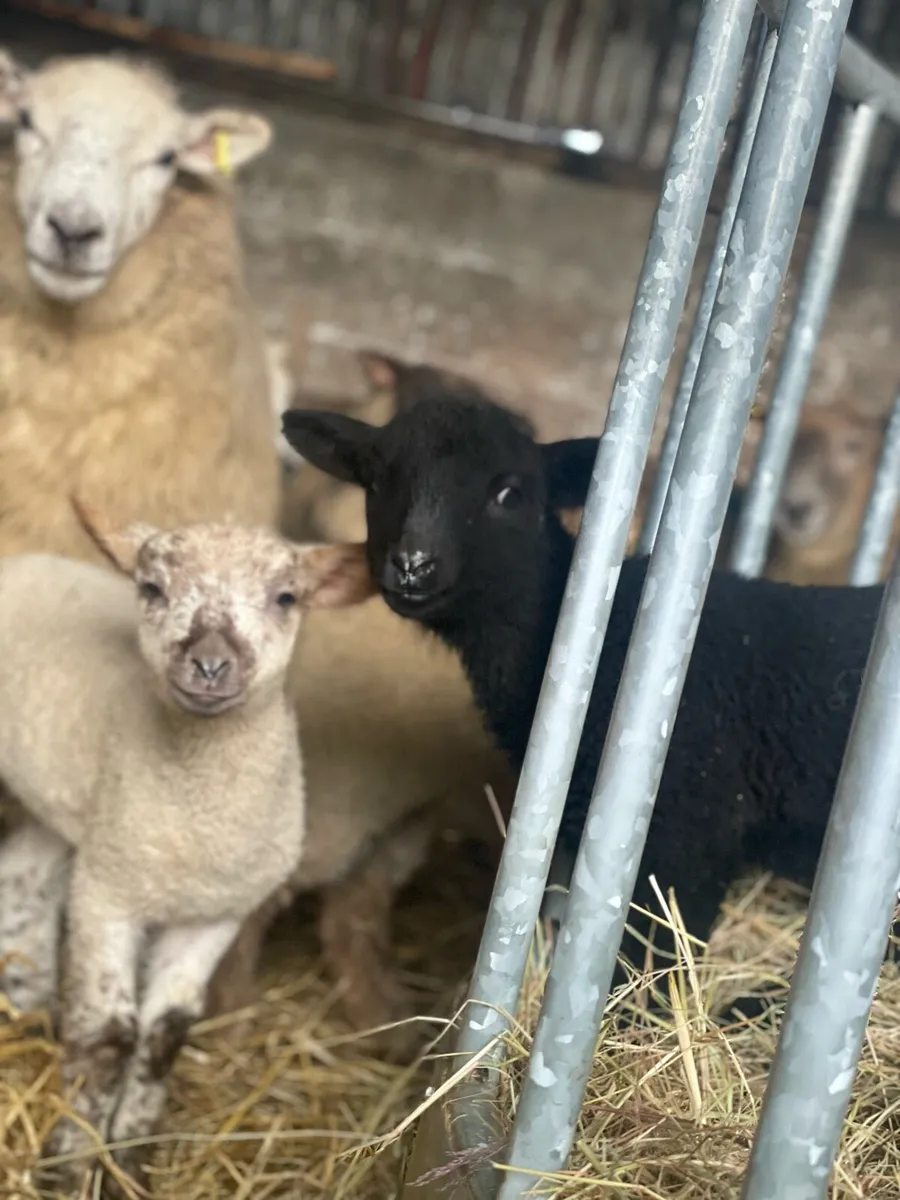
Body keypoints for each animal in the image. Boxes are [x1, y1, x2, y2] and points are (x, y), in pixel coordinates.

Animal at [0, 502, 374, 1195]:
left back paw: (29, 1003)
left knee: (22, 878)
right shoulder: (108, 895)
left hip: (64, 805)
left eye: (286, 597)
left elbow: (162, 1036)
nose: (209, 664)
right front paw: (70, 1164)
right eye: (152, 588)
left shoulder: (215, 913)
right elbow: (111, 1036)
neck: (200, 825)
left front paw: (128, 1158)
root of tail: (21, 561)